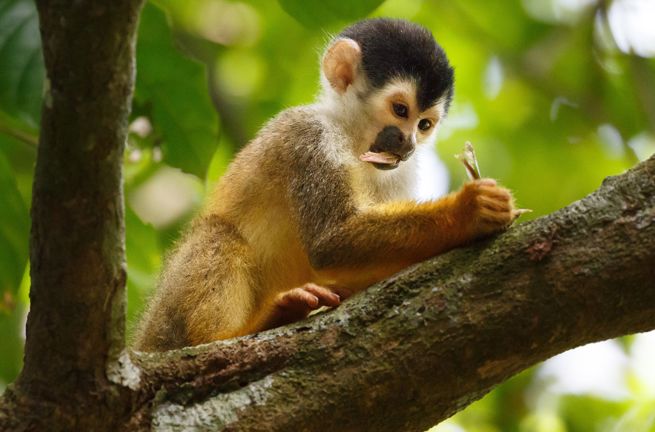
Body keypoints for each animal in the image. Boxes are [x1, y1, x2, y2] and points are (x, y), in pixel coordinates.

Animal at [133, 18, 516, 352]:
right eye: (400, 109)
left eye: (424, 124)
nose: (408, 144)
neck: (352, 138)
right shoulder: (309, 135)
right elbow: (328, 242)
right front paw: (468, 210)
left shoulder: (402, 172)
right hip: (164, 325)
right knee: (217, 232)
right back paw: (229, 334)